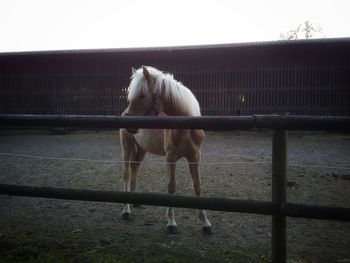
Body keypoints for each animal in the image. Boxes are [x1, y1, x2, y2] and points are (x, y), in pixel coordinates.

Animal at [119, 66, 212, 235]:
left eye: (142, 95)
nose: (129, 122)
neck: (185, 127)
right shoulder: (171, 157)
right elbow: (171, 187)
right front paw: (171, 223)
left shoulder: (195, 156)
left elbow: (197, 186)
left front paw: (205, 222)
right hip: (127, 147)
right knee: (126, 174)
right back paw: (126, 211)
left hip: (142, 150)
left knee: (135, 169)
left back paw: (135, 202)